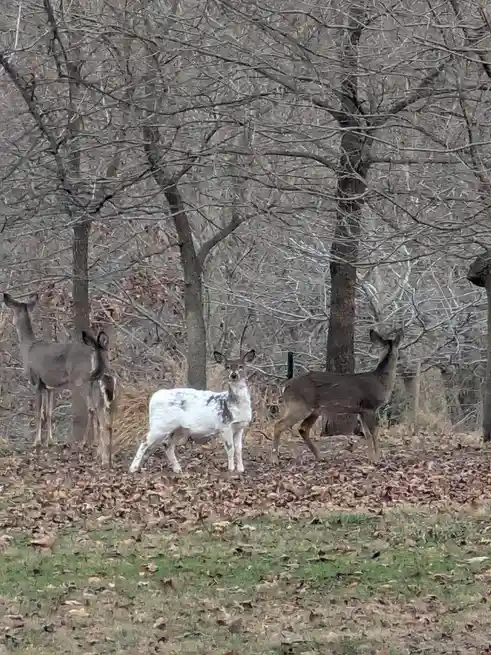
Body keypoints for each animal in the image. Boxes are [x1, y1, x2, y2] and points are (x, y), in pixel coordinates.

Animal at [3, 292, 109, 447]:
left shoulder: (37, 381)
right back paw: (96, 442)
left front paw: (36, 442)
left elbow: (39, 413)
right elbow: (49, 413)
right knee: (98, 407)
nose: (11, 321)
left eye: (13, 310)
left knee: (90, 408)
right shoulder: (50, 387)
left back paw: (85, 442)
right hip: (94, 381)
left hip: (80, 379)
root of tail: (93, 352)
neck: (28, 348)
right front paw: (50, 441)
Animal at [271, 328, 404, 464]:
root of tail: (286, 385)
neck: (380, 381)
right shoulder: (369, 406)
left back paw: (319, 456)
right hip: (299, 405)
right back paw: (274, 459)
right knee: (279, 425)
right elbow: (375, 432)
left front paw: (371, 458)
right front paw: (377, 459)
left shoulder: (361, 410)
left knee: (303, 428)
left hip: (314, 409)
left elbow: (367, 434)